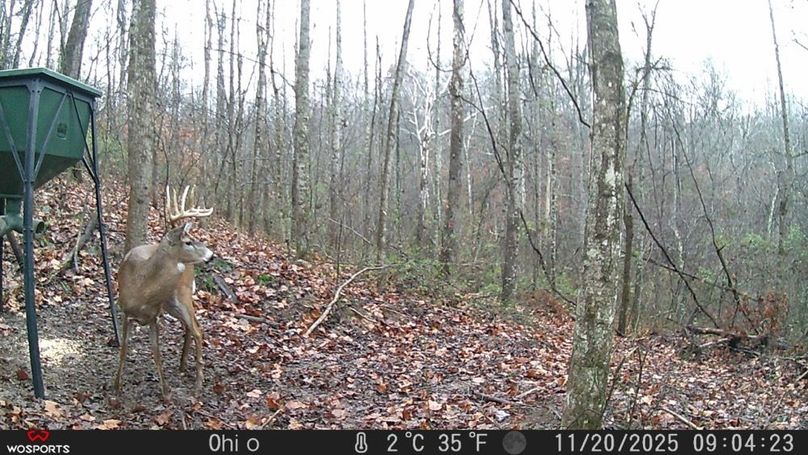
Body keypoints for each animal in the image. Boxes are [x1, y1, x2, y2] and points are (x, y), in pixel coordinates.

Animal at [113, 186, 213, 401]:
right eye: (188, 241)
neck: (142, 289)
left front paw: (166, 392)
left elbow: (156, 352)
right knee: (190, 327)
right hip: (171, 303)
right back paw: (183, 365)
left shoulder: (154, 316)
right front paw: (116, 387)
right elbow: (124, 349)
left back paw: (198, 385)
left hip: (182, 295)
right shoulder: (125, 312)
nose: (211, 255)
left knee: (197, 329)